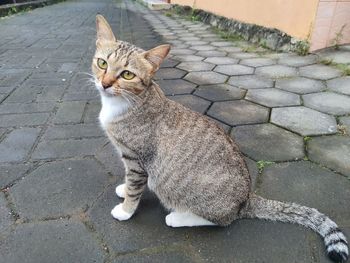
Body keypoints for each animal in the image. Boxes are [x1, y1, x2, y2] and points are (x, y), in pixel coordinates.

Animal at [91, 15, 348, 262]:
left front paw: (125, 209)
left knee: (223, 220)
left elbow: (135, 187)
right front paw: (124, 189)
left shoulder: (137, 159)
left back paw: (180, 218)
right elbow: (130, 182)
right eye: (102, 63)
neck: (125, 103)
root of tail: (246, 199)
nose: (105, 83)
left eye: (127, 74)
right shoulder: (130, 160)